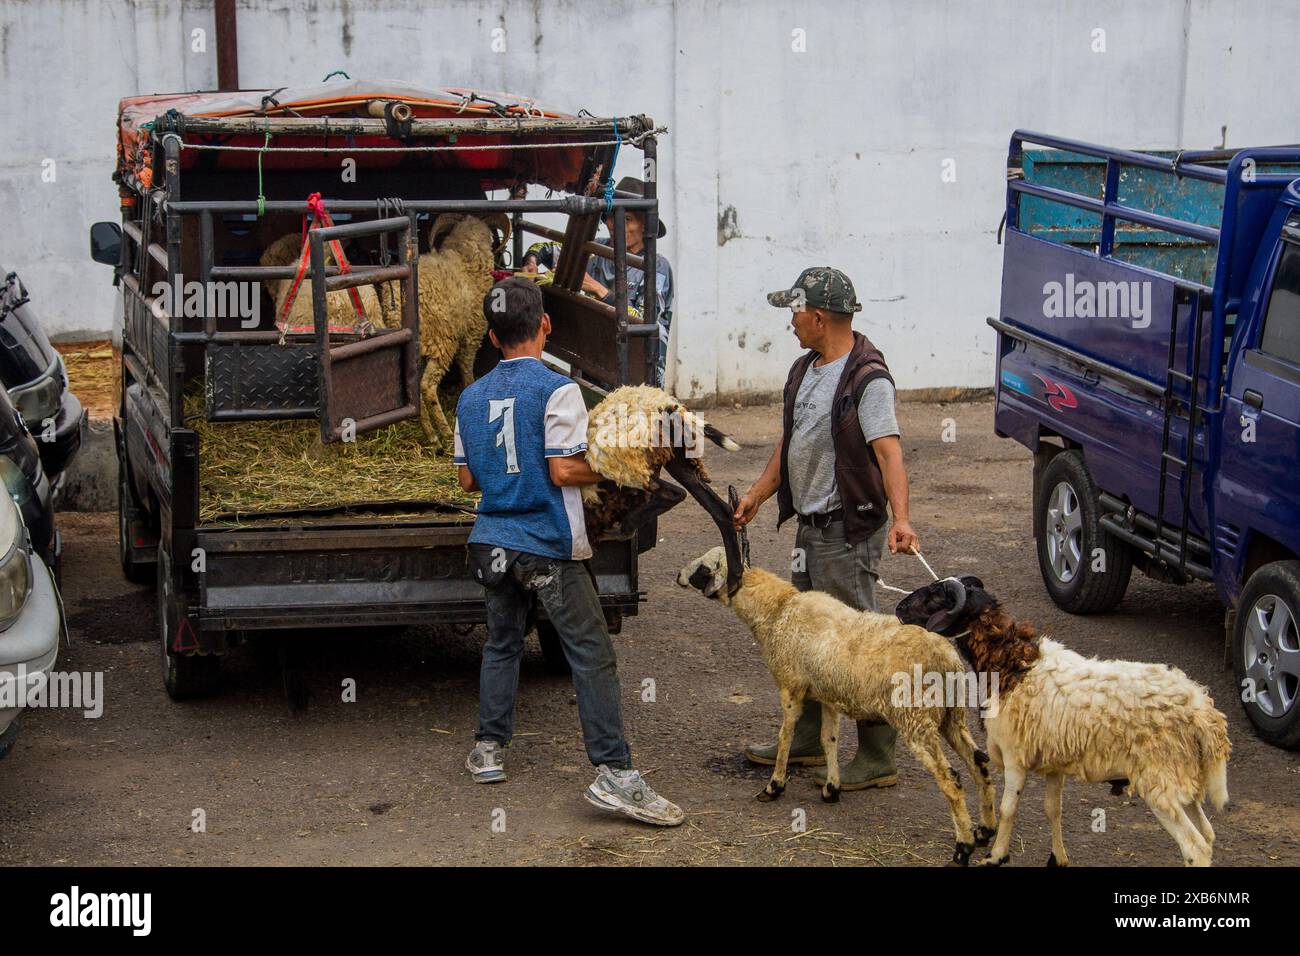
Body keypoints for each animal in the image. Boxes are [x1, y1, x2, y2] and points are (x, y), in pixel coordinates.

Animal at [681, 546, 993, 868]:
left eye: (703, 567)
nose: (678, 576)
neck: (779, 610)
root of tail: (947, 658)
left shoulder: (791, 688)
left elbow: (785, 736)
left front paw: (774, 786)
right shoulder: (827, 695)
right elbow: (827, 738)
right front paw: (832, 788)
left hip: (916, 721)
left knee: (951, 780)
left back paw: (963, 849)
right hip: (952, 717)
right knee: (980, 764)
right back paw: (985, 831)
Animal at [894, 574, 1227, 868]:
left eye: (936, 596)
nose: (899, 608)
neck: (1013, 667)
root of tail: (1203, 712)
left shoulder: (1015, 758)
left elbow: (1008, 809)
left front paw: (996, 856)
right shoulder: (1054, 762)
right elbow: (1052, 810)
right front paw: (1058, 858)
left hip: (1160, 779)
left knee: (1195, 847)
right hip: (1183, 778)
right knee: (1209, 834)